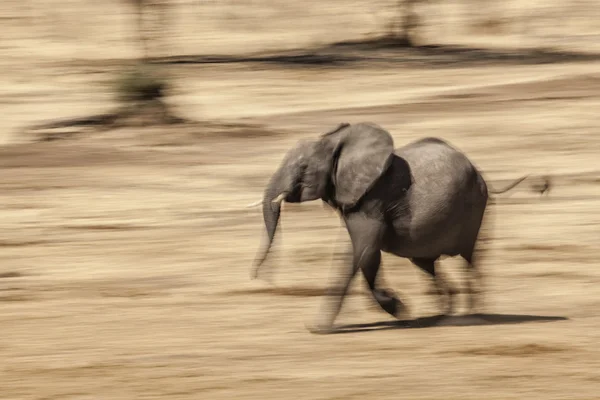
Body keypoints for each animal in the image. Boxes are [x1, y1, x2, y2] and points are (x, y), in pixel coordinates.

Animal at [253, 122, 540, 334]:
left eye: (303, 168)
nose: (260, 278)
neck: (335, 141)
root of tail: (480, 171)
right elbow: (367, 255)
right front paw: (402, 312)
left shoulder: (374, 197)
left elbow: (360, 251)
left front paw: (317, 328)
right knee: (426, 263)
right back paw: (441, 315)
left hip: (474, 207)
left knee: (469, 259)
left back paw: (467, 318)